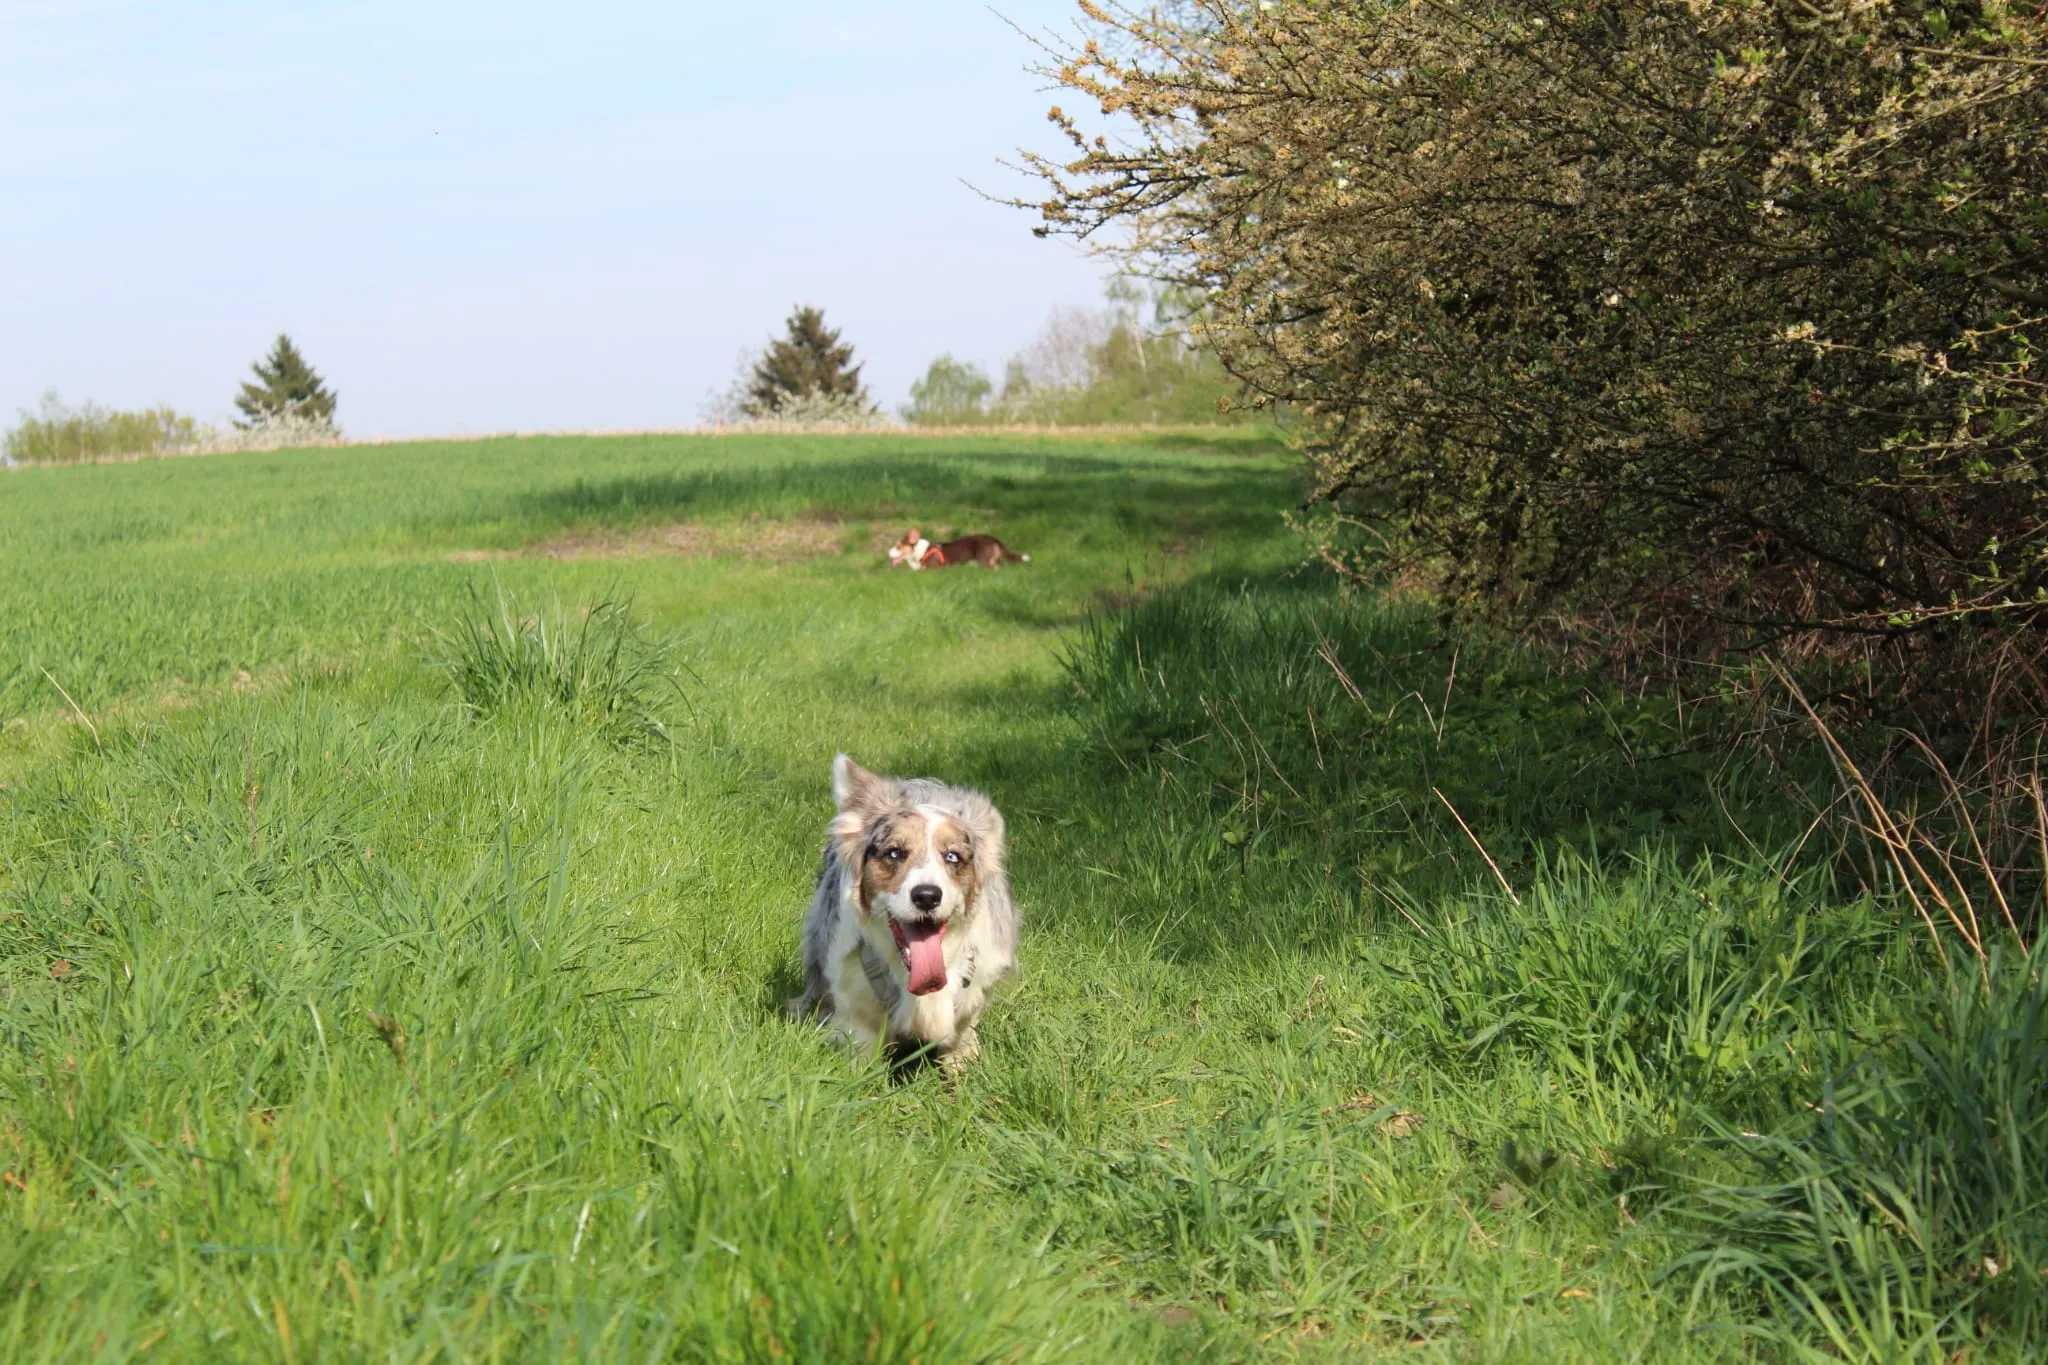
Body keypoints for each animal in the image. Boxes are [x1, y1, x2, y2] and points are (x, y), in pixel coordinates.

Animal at [786, 757, 1019, 1064]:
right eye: (894, 853)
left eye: (952, 857)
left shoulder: (971, 998)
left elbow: (960, 1047)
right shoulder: (856, 1011)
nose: (927, 896)